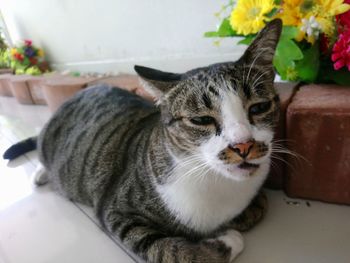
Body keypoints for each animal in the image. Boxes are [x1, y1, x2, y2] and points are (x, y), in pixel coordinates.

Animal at [3, 19, 282, 262]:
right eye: (201, 120)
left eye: (259, 107)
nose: (243, 145)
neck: (217, 182)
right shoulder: (116, 212)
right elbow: (171, 251)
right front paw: (225, 240)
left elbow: (260, 206)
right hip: (49, 142)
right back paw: (40, 173)